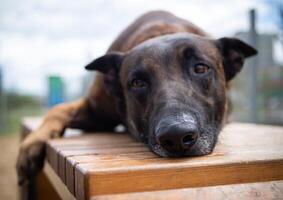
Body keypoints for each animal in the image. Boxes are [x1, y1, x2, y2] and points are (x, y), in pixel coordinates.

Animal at [16, 9, 258, 184]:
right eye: (137, 82)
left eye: (200, 68)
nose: (177, 136)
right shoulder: (97, 113)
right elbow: (57, 109)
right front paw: (31, 145)